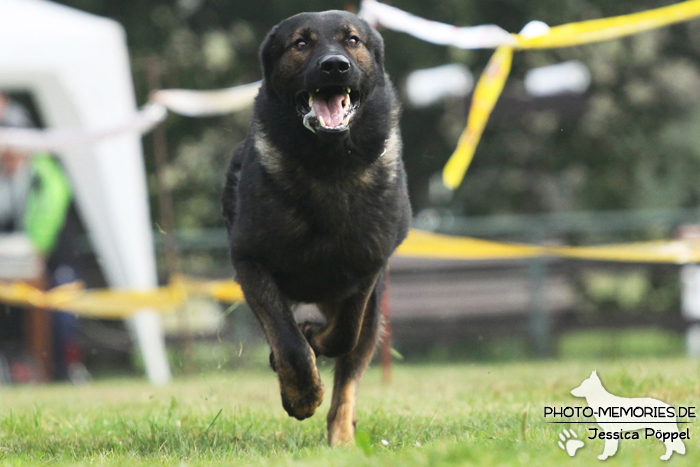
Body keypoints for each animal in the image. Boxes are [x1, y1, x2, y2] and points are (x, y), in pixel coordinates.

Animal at [223, 11, 410, 448]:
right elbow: (288, 341)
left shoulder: (366, 270)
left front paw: (315, 339)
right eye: (301, 44)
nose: (334, 66)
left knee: (349, 375)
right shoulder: (250, 262)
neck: (328, 166)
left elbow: (343, 335)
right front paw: (302, 395)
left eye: (352, 40)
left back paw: (341, 438)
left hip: (374, 313)